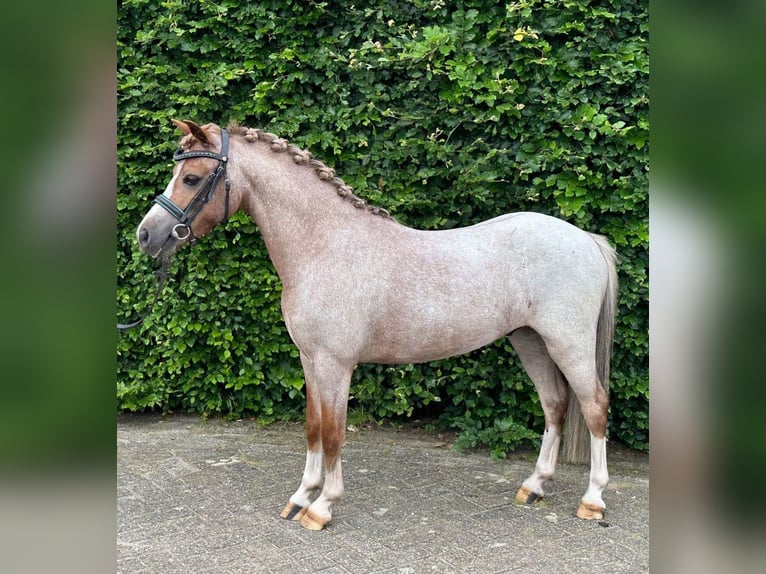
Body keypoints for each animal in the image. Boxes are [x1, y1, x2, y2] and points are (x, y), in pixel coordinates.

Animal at [136, 119, 616, 532]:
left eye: (192, 177)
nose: (146, 235)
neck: (324, 244)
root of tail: (586, 239)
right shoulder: (310, 360)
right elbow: (313, 426)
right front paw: (301, 497)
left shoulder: (336, 364)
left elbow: (334, 433)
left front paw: (323, 507)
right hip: (530, 341)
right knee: (555, 404)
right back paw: (534, 486)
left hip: (568, 344)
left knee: (593, 405)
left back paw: (592, 500)